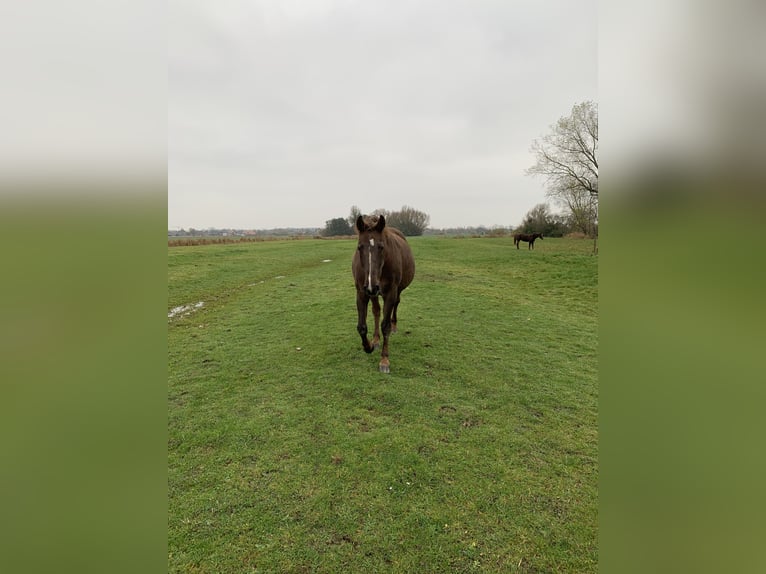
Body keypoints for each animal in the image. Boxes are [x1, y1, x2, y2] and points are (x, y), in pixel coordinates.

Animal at [352, 214, 415, 373]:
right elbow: (361, 326)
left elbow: (385, 325)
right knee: (376, 311)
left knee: (395, 305)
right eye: (359, 247)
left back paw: (394, 326)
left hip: (395, 290)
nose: (371, 285)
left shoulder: (390, 292)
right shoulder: (361, 293)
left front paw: (384, 360)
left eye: (381, 247)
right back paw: (375, 339)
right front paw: (369, 346)